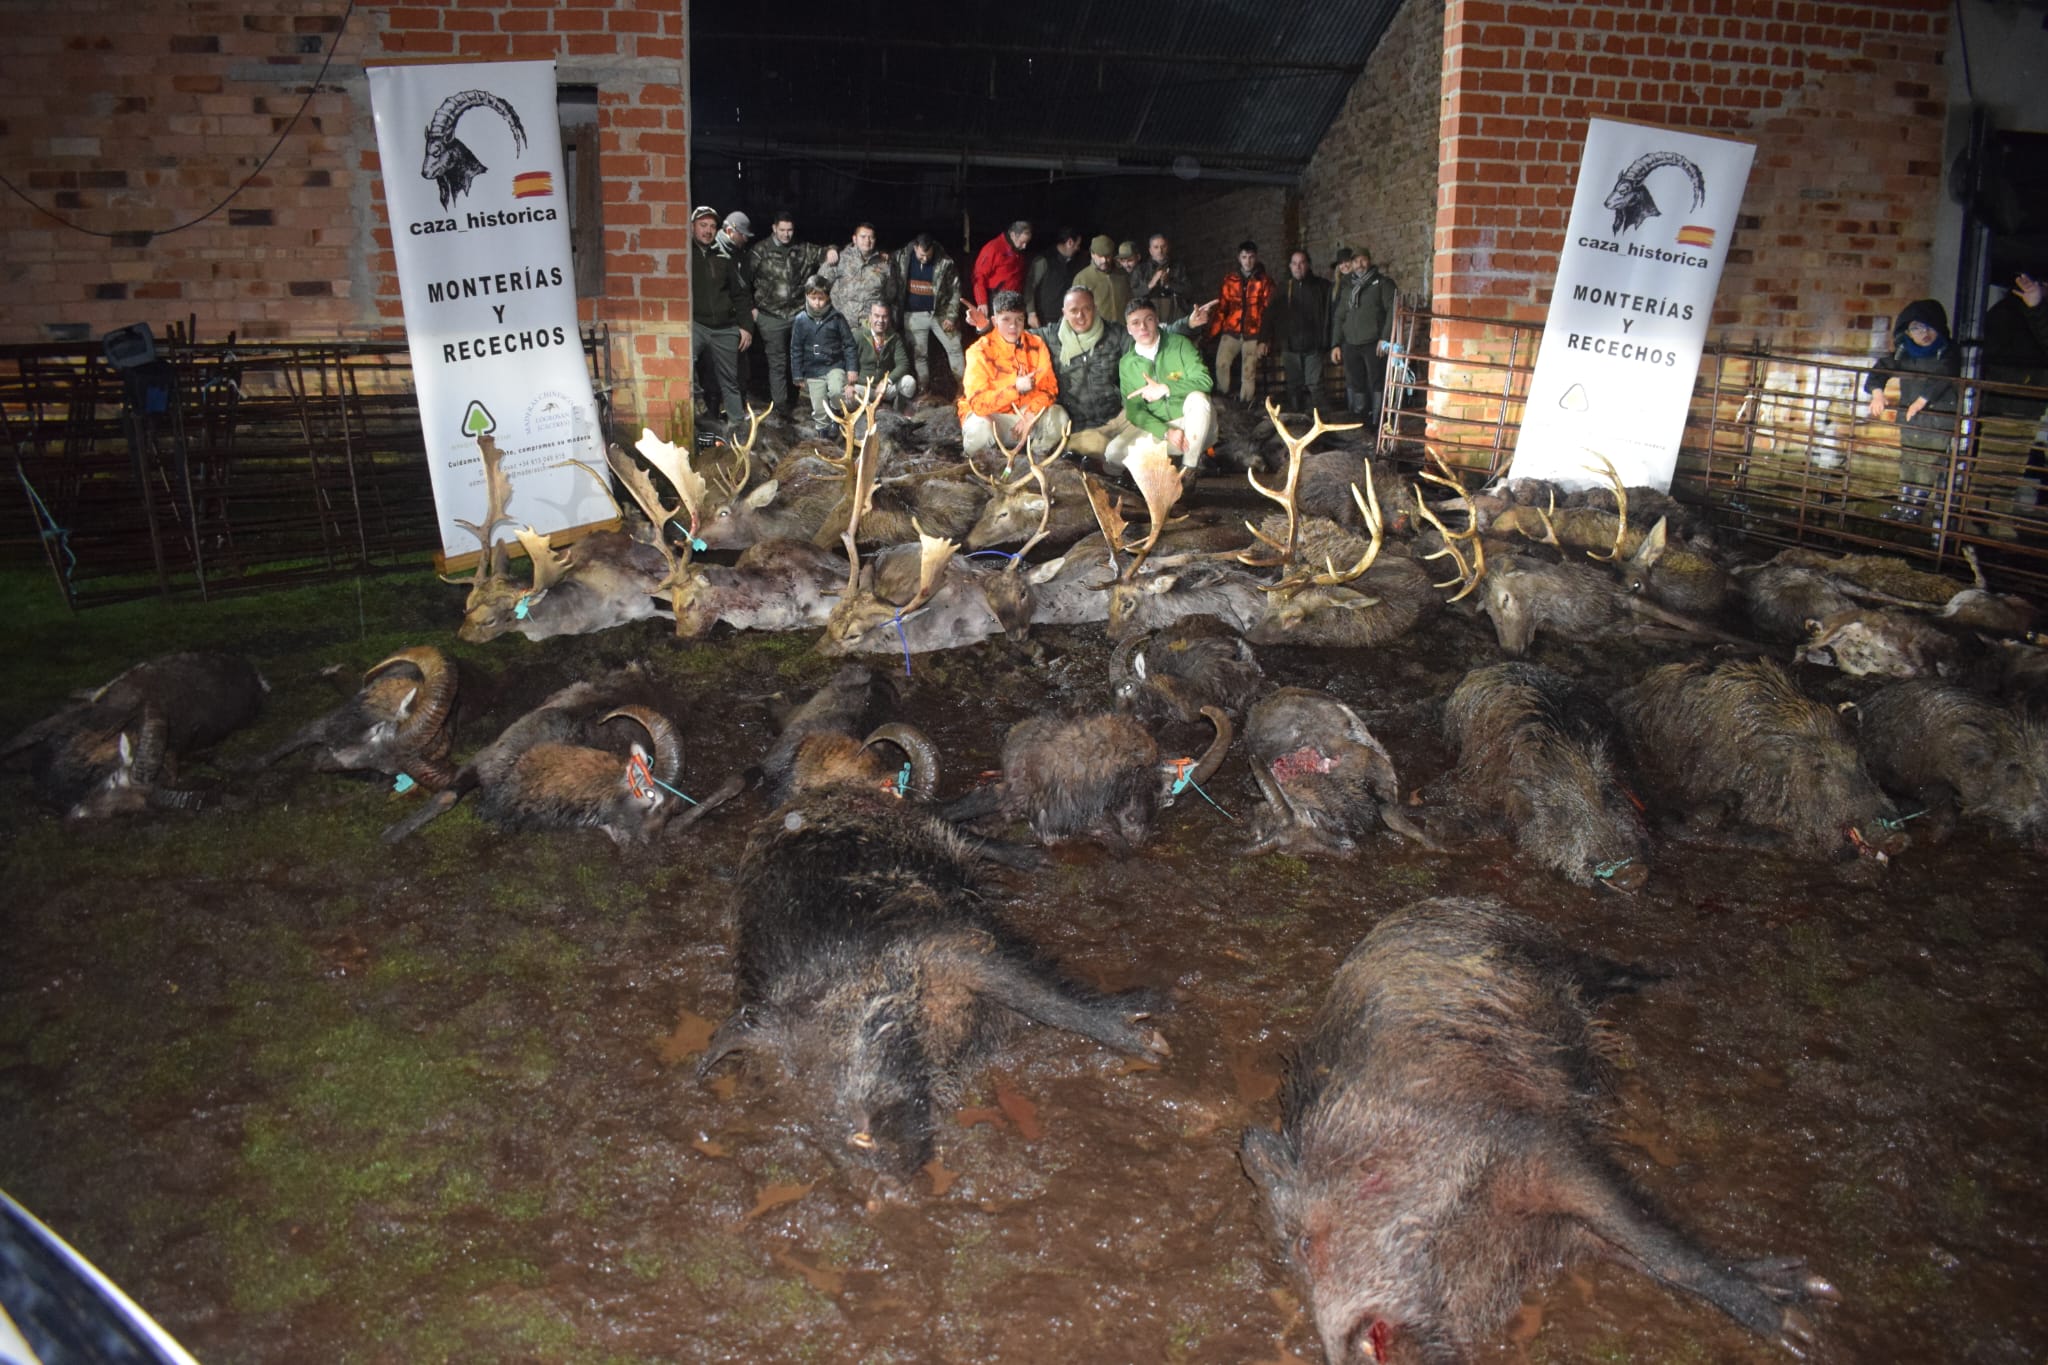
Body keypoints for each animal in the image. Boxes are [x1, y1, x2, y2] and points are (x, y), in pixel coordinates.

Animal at [1241, 896, 1836, 1364]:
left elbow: (1659, 1247)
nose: (1343, 1350)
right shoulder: (1560, 1229)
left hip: (1550, 959)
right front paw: (1802, 1287)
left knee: (1595, 969)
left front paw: (1803, 1327)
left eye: (1303, 1244)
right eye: (1289, 1260)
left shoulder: (1538, 1145)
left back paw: (1672, 976)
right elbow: (1640, 1255)